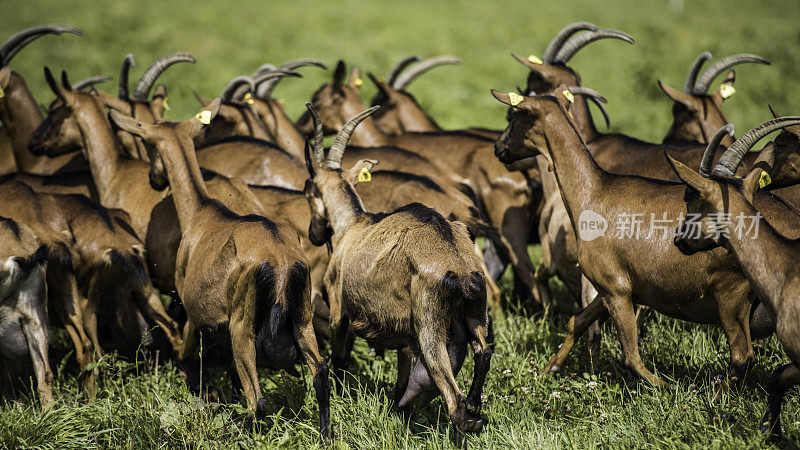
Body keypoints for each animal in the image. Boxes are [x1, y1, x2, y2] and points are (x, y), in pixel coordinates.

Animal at [108, 100, 330, 438]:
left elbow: (187, 362)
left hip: (242, 328)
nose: (154, 179)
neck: (202, 211)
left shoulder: (193, 314)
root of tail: (280, 263)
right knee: (320, 376)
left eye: (149, 144)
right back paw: (327, 434)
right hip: (303, 320)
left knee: (258, 403)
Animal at [304, 103, 490, 442]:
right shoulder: (405, 340)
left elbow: (339, 357)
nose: (314, 233)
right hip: (475, 312)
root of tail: (459, 267)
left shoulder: (339, 307)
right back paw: (474, 405)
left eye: (308, 190)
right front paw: (397, 412)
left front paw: (341, 392)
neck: (353, 224)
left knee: (454, 403)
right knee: (483, 353)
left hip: (430, 327)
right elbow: (402, 380)